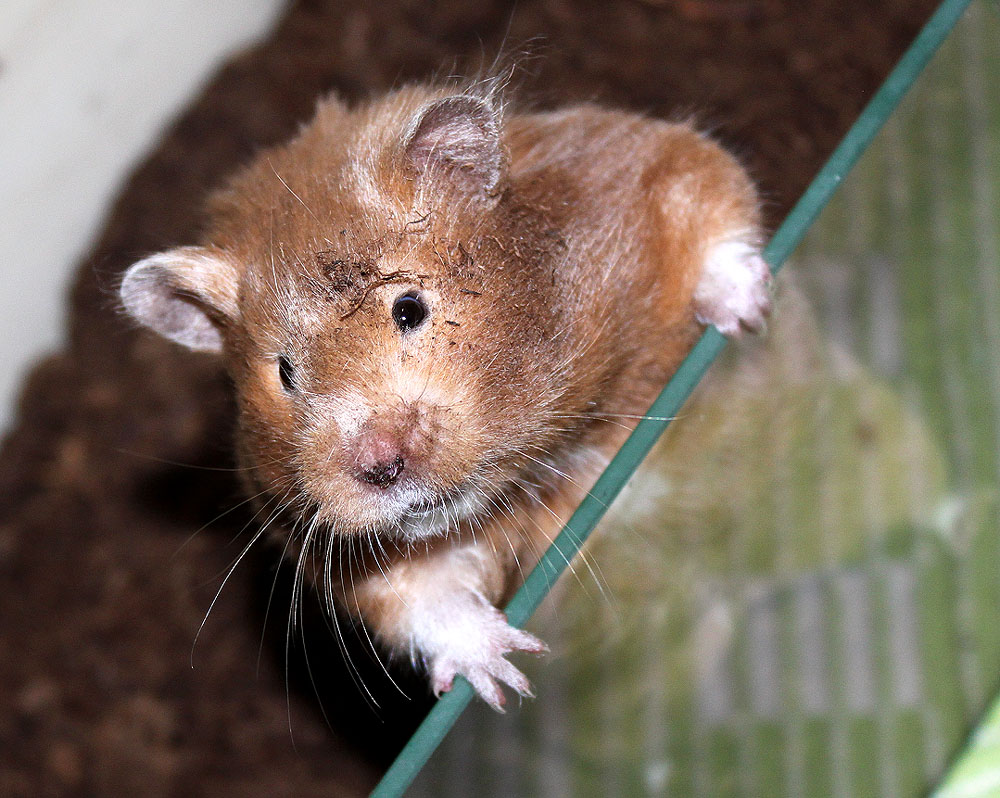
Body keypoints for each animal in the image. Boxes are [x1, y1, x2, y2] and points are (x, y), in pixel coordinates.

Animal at [119, 83, 772, 712]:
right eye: (284, 373)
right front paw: (505, 678)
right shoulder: (352, 560)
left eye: (409, 307)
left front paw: (745, 310)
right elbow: (425, 600)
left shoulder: (642, 170)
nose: (382, 467)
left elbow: (706, 199)